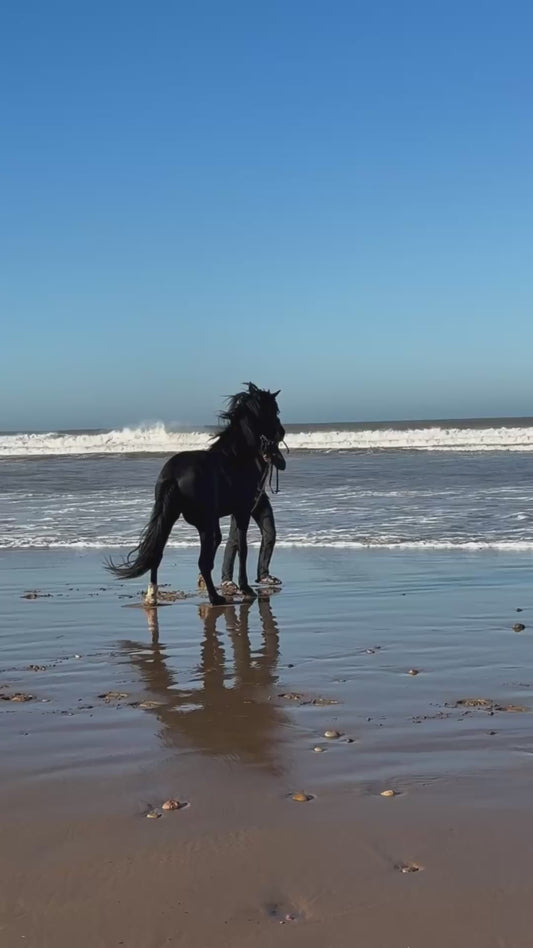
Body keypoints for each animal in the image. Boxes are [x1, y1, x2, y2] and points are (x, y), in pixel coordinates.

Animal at [106, 383, 285, 606]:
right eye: (273, 410)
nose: (281, 432)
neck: (236, 456)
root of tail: (173, 474)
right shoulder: (242, 512)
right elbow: (242, 549)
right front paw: (246, 588)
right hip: (204, 524)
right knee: (203, 561)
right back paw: (215, 598)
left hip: (170, 518)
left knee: (158, 553)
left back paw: (152, 596)